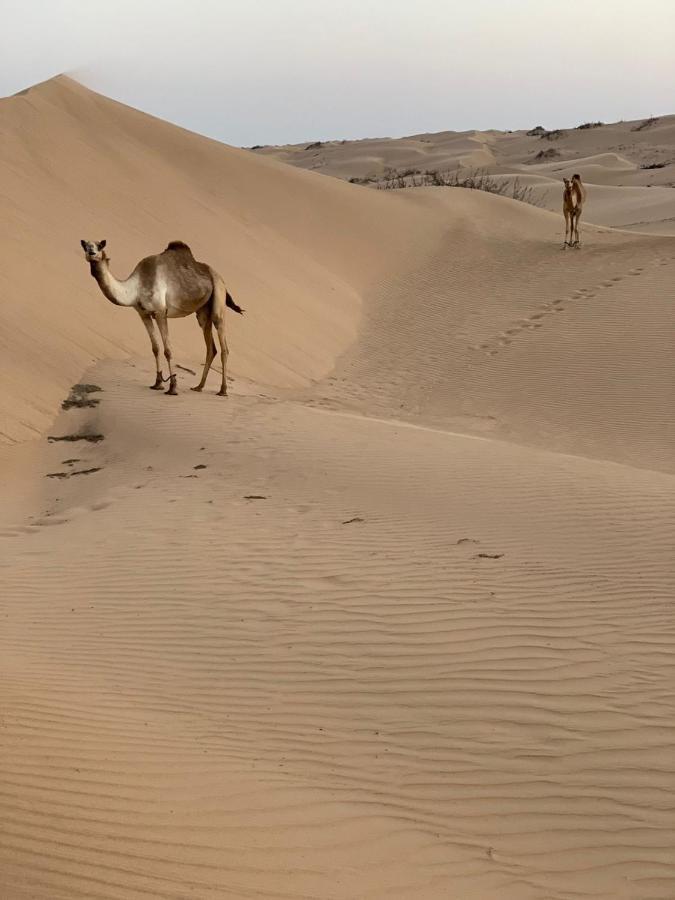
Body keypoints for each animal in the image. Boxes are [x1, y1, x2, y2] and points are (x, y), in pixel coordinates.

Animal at [81, 239, 244, 394]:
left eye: (99, 246)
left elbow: (168, 350)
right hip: (203, 311)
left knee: (223, 345)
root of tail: (220, 278)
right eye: (86, 246)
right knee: (211, 347)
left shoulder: (160, 312)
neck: (136, 287)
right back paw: (199, 386)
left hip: (218, 297)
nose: (91, 252)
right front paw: (158, 383)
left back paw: (222, 390)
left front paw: (172, 387)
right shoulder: (143, 314)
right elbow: (155, 348)